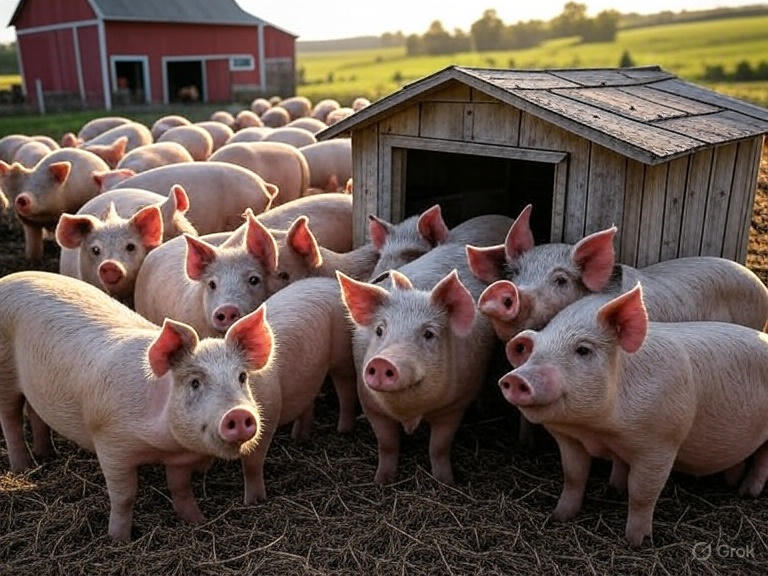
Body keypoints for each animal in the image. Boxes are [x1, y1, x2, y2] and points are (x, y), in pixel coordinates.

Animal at [0, 270, 267, 540]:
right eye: (194, 382)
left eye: (242, 377)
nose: (239, 414)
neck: (162, 446)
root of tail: (7, 279)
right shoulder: (111, 444)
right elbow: (124, 497)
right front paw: (118, 540)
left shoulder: (179, 458)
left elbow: (180, 488)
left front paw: (197, 521)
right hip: (6, 377)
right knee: (10, 420)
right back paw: (23, 467)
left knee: (35, 413)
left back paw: (46, 455)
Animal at [236, 277, 358, 502]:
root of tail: (331, 282)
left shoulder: (268, 413)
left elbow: (252, 464)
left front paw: (254, 501)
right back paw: (299, 438)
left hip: (342, 352)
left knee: (346, 388)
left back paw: (342, 430)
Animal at [338, 251, 496, 485]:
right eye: (379, 330)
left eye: (429, 334)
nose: (382, 361)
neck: (409, 414)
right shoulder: (370, 403)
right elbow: (387, 444)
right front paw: (381, 481)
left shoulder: (454, 407)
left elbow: (439, 447)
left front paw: (445, 482)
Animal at [499, 284, 768, 546]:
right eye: (534, 352)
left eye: (583, 350)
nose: (516, 378)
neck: (597, 430)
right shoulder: (570, 440)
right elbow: (574, 476)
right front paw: (559, 516)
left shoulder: (660, 443)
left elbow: (641, 493)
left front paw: (635, 542)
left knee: (762, 460)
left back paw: (747, 492)